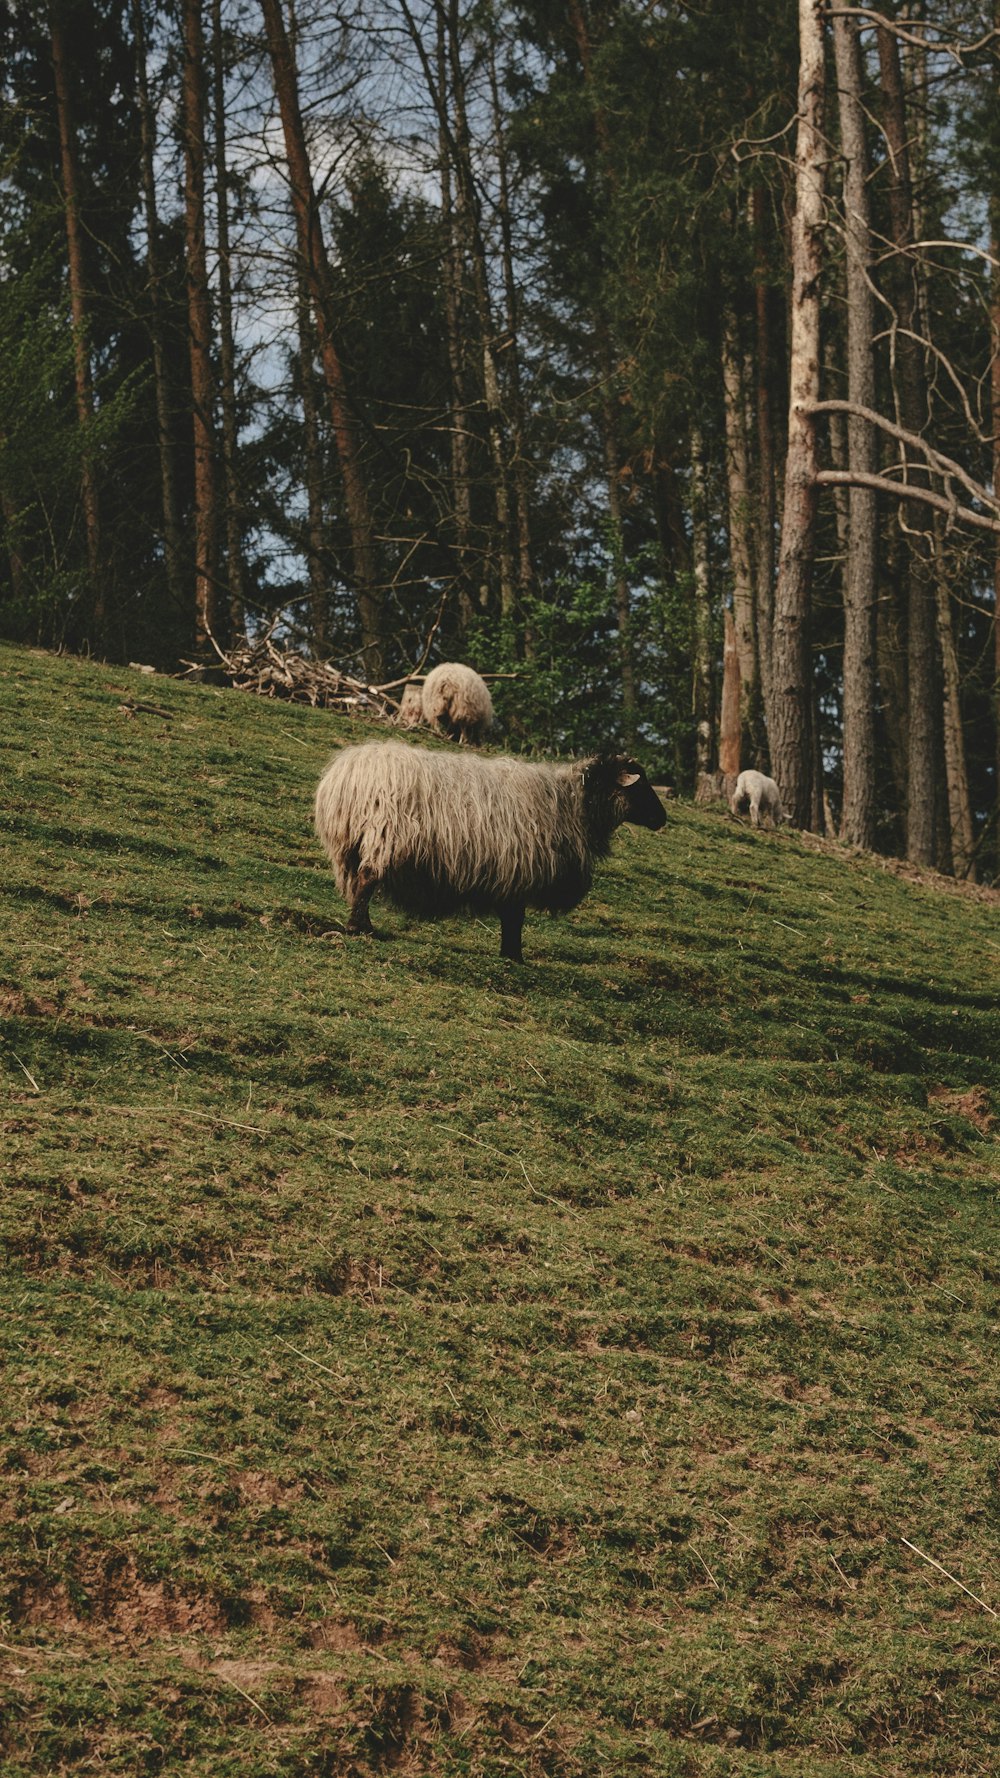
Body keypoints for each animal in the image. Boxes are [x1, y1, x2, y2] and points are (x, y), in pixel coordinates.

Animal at [314, 736, 665, 960]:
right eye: (641, 785)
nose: (662, 818)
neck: (573, 802)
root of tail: (347, 772)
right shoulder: (519, 869)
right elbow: (514, 918)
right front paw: (514, 956)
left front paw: (511, 954)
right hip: (384, 837)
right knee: (367, 880)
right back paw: (361, 928)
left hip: (351, 846)